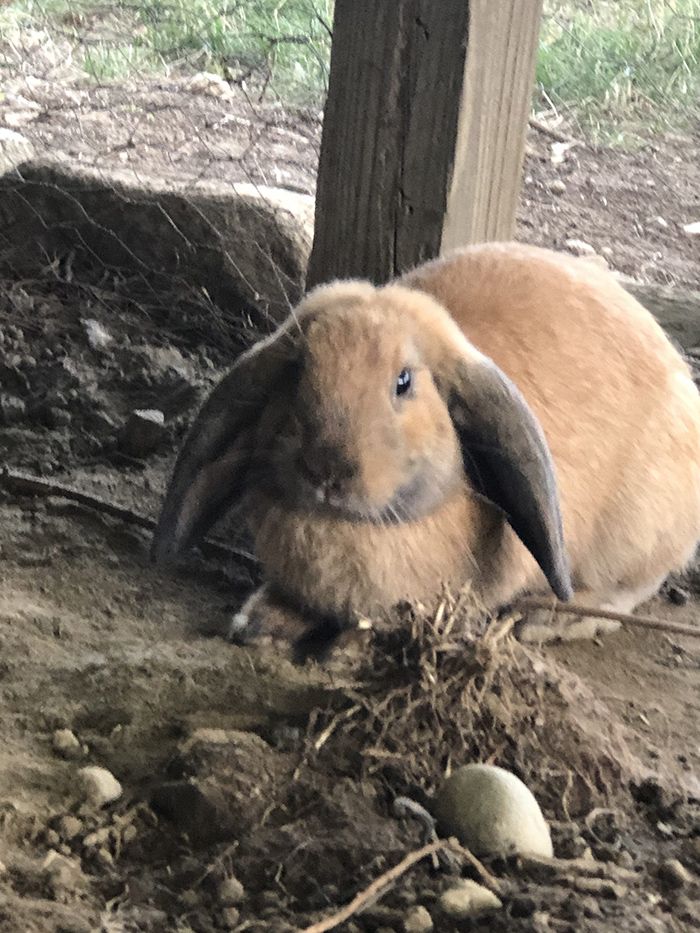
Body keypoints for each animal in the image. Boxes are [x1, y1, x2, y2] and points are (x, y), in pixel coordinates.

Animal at [151, 242, 700, 651]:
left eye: (404, 382)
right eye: (298, 369)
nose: (326, 470)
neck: (354, 527)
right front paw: (260, 621)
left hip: (638, 530)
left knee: (634, 586)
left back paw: (556, 618)